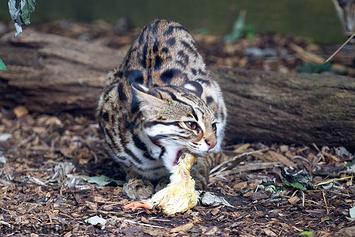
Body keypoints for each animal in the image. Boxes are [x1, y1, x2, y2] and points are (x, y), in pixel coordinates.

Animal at [96, 19, 227, 200]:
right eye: (191, 125)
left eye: (213, 125)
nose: (212, 142)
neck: (151, 154)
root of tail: (161, 21)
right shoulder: (108, 103)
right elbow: (127, 164)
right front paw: (137, 180)